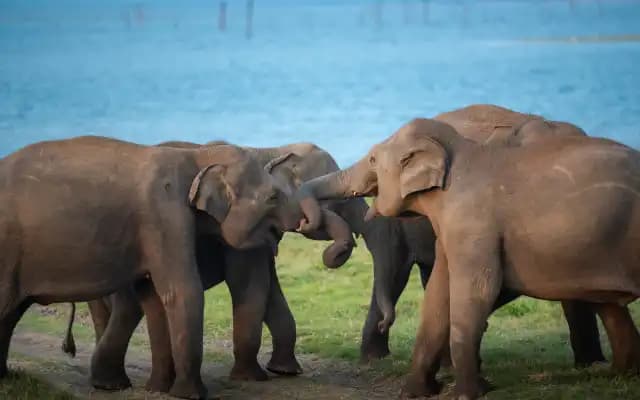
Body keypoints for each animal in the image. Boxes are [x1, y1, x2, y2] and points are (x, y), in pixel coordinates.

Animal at [0, 135, 313, 400]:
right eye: (273, 197)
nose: (302, 221)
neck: (196, 157)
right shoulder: (164, 215)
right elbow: (183, 291)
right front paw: (191, 395)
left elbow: (154, 297)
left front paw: (159, 389)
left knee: (11, 313)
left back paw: (11, 378)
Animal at [60, 140, 367, 394]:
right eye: (340, 200)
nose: (336, 252)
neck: (267, 149)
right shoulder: (237, 237)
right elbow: (252, 286)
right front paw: (252, 378)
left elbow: (270, 291)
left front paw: (283, 371)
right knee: (128, 307)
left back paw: (114, 383)